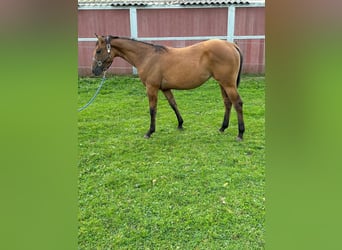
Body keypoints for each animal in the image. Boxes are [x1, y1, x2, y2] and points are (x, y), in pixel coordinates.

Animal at [92, 35, 244, 141]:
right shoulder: (165, 89)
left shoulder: (151, 88)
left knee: (237, 103)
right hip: (222, 83)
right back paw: (223, 127)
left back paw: (240, 133)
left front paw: (150, 132)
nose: (94, 71)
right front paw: (180, 124)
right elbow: (173, 104)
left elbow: (152, 110)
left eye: (98, 51)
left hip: (228, 84)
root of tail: (231, 45)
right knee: (228, 103)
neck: (147, 56)